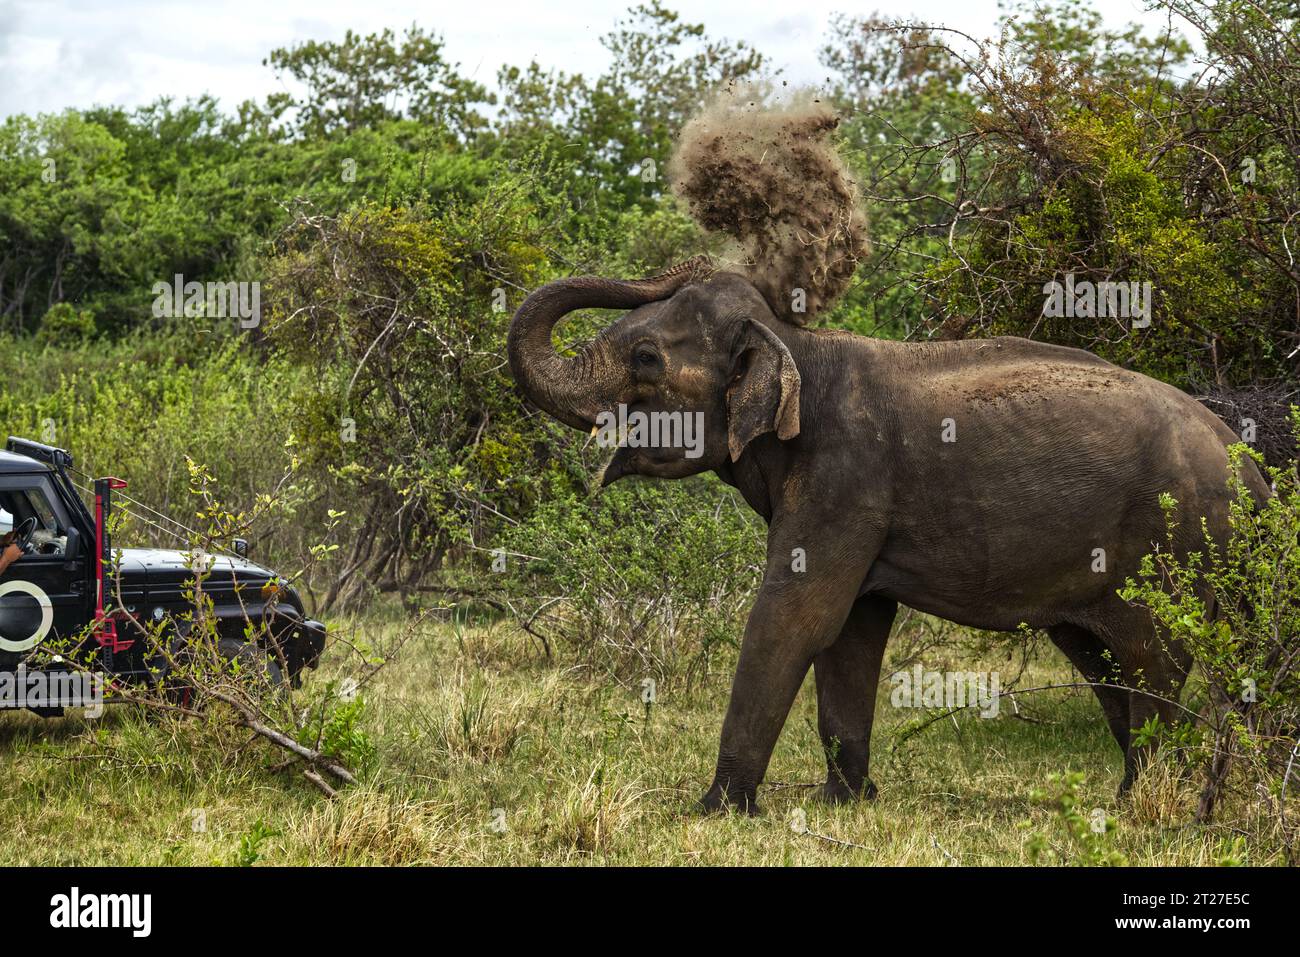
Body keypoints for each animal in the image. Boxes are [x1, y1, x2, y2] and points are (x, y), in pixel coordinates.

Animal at [506, 257, 1268, 811]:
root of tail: (1254, 471)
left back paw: (1160, 807)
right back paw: (1140, 797)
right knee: (1103, 662)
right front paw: (847, 801)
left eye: (645, 359)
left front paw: (716, 809)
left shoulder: (847, 479)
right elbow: (852, 631)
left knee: (1151, 663)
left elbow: (796, 618)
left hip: (1174, 546)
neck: (798, 345)